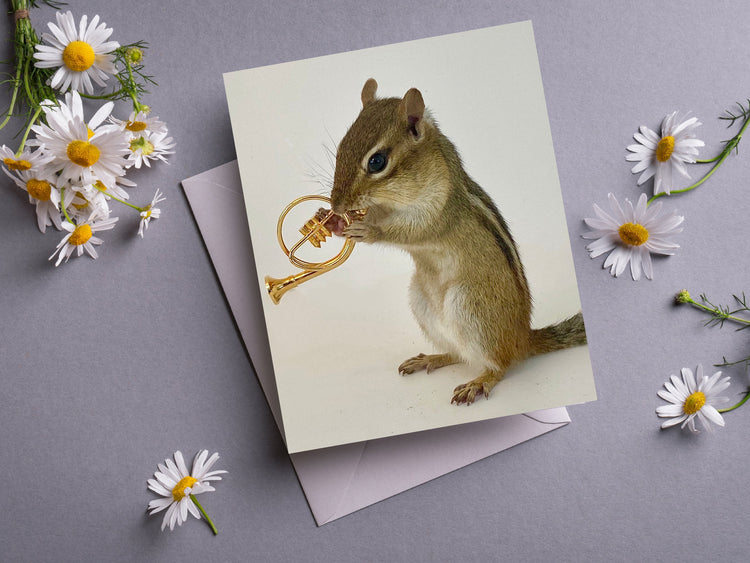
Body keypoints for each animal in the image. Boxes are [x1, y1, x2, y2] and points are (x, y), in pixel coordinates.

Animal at [328, 78, 586, 405]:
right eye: (341, 148)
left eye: (377, 161)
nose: (336, 205)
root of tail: (523, 337)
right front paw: (336, 223)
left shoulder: (437, 208)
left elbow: (410, 232)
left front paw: (367, 231)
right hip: (421, 301)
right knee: (459, 354)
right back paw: (432, 358)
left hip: (469, 304)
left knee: (500, 364)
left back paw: (480, 381)